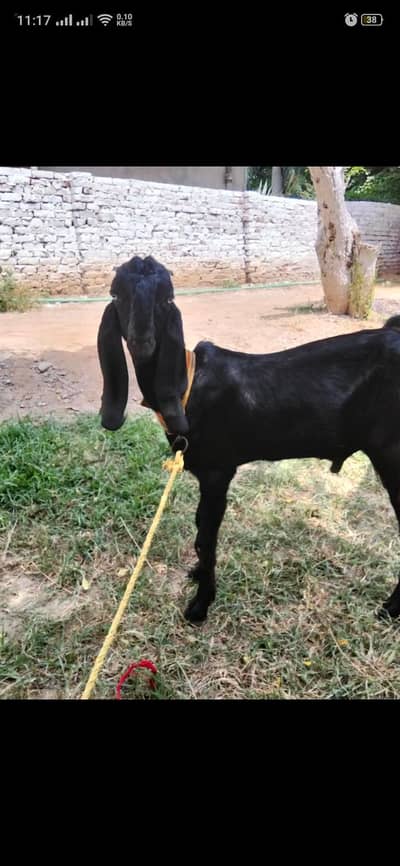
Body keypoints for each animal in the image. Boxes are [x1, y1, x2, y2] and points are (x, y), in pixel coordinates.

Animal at [97, 254, 400, 624]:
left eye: (167, 299)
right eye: (117, 295)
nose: (142, 342)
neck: (189, 386)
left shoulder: (218, 472)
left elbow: (206, 537)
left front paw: (200, 605)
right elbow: (199, 527)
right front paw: (197, 576)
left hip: (392, 452)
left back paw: (390, 609)